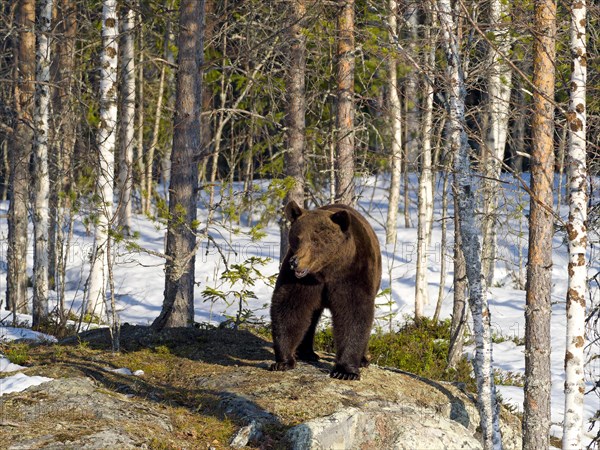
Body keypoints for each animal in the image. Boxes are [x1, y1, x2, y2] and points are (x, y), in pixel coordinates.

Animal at [270, 200, 382, 380]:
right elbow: (289, 308)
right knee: (311, 317)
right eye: (297, 238)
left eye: (316, 240)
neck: (325, 271)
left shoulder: (352, 274)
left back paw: (364, 359)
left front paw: (345, 371)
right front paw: (283, 361)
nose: (295, 262)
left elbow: (354, 314)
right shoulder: (301, 281)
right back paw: (306, 352)